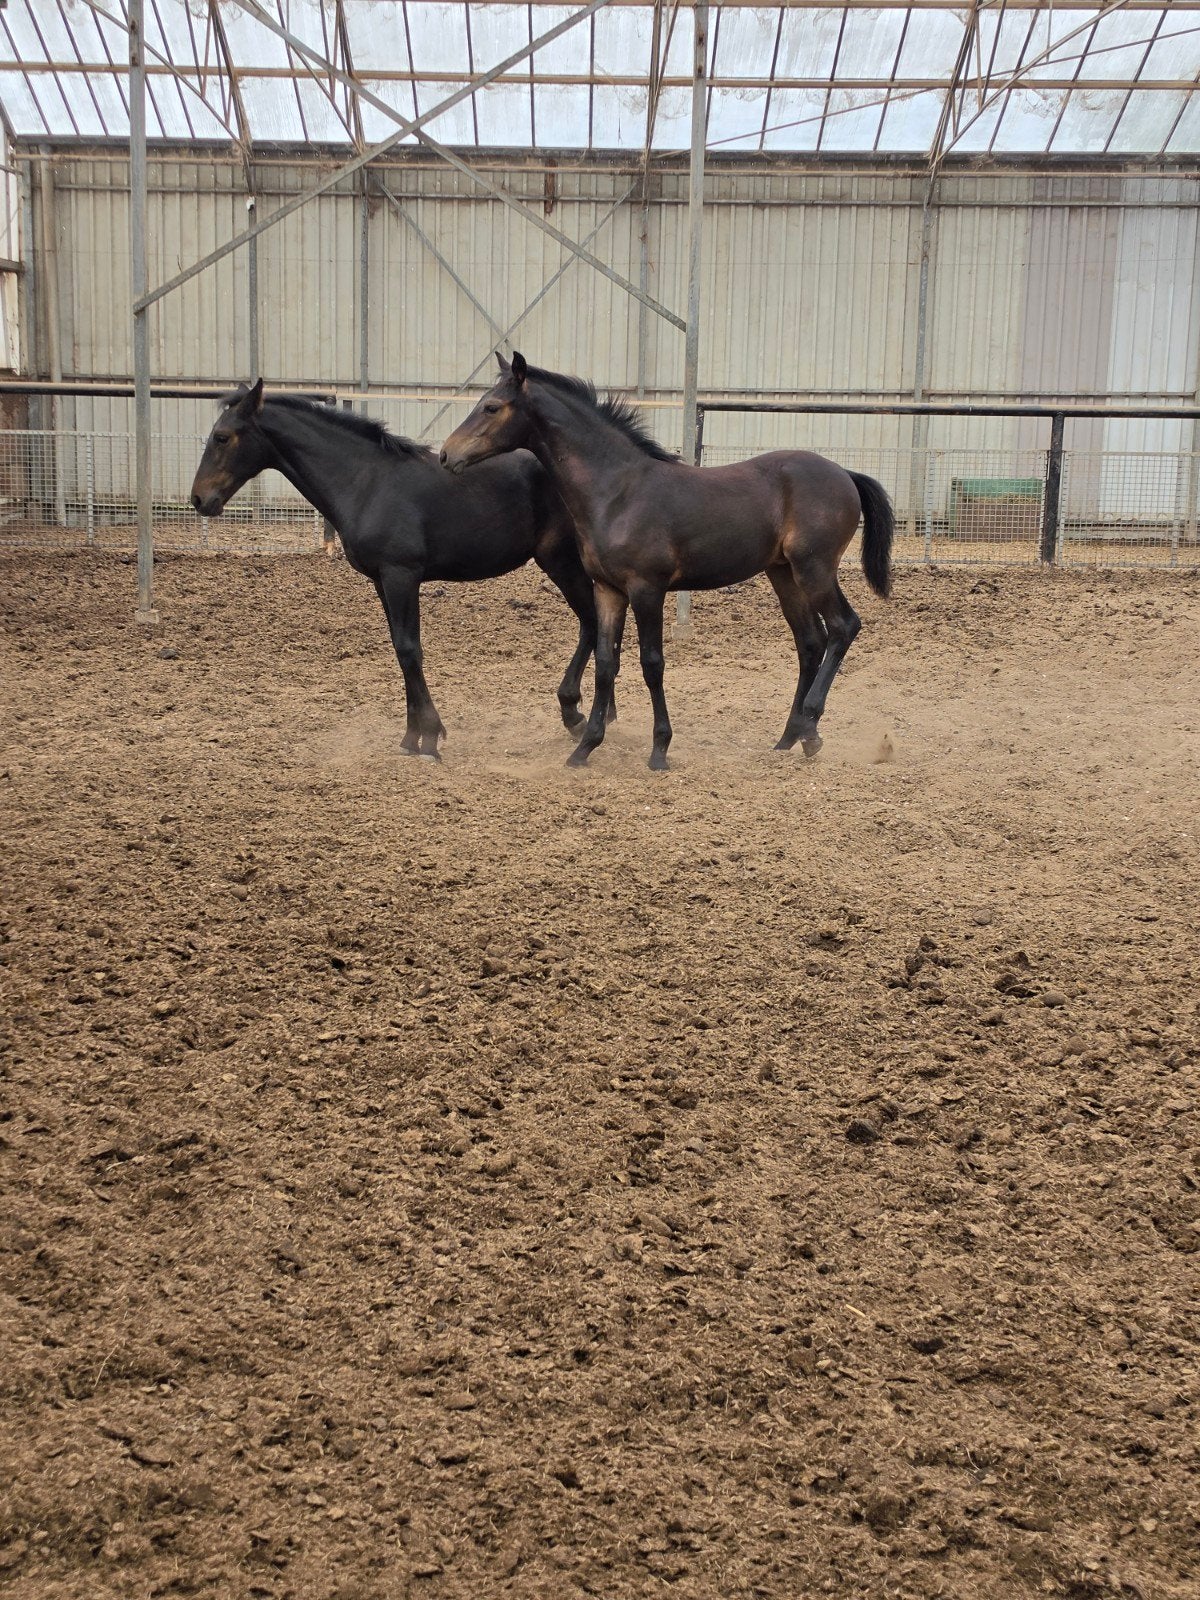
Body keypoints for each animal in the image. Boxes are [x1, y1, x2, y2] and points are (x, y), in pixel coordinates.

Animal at [190, 379, 609, 759]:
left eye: (222, 437)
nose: (199, 499)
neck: (366, 483)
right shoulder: (382, 581)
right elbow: (399, 647)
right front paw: (411, 737)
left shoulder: (401, 575)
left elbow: (410, 649)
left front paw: (430, 737)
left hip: (561, 560)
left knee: (591, 622)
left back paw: (576, 714)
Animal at [440, 353, 895, 772]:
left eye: (491, 407)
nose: (446, 455)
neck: (617, 492)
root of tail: (844, 473)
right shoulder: (609, 590)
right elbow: (606, 663)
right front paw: (585, 748)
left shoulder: (647, 589)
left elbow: (651, 663)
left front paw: (659, 749)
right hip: (783, 573)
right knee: (810, 642)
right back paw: (789, 737)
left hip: (814, 568)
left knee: (843, 627)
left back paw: (811, 728)